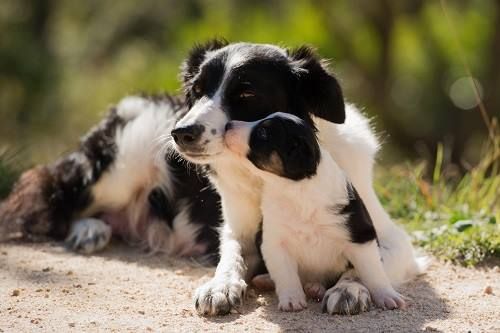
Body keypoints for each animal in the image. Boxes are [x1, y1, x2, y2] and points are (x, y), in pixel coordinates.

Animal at [225, 113, 408, 312]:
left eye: (263, 133)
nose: (228, 125)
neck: (294, 188)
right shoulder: (274, 242)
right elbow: (286, 275)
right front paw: (292, 299)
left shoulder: (360, 237)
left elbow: (372, 272)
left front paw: (387, 296)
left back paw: (315, 288)